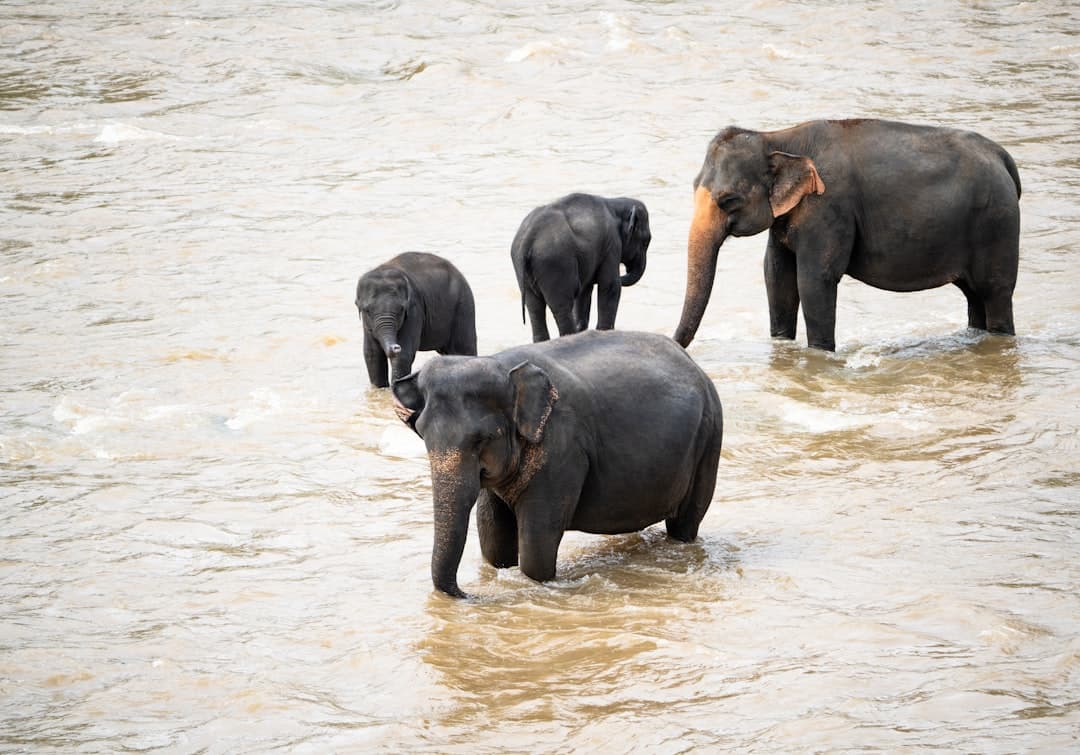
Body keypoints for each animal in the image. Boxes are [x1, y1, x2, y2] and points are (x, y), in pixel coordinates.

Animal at [355, 252, 477, 387]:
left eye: (401, 310)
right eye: (367, 310)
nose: (395, 347)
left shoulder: (414, 310)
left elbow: (404, 355)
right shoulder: (367, 323)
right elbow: (372, 354)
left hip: (463, 305)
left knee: (463, 349)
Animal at [392, 329, 723, 598]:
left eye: (483, 438)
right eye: (422, 434)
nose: (466, 594)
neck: (503, 367)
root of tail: (692, 362)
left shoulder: (562, 450)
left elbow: (537, 550)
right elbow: (494, 543)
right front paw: (502, 569)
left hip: (710, 437)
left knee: (686, 522)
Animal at [511, 193, 651, 342]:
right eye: (646, 241)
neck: (614, 203)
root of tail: (528, 238)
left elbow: (585, 290)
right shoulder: (611, 244)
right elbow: (610, 286)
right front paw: (604, 331)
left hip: (524, 270)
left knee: (534, 308)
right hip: (555, 263)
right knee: (562, 307)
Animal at [673, 119, 1022, 351]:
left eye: (728, 200)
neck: (778, 137)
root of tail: (1002, 156)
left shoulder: (829, 207)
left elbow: (814, 279)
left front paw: (819, 354)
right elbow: (776, 274)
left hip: (997, 223)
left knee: (996, 293)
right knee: (975, 297)